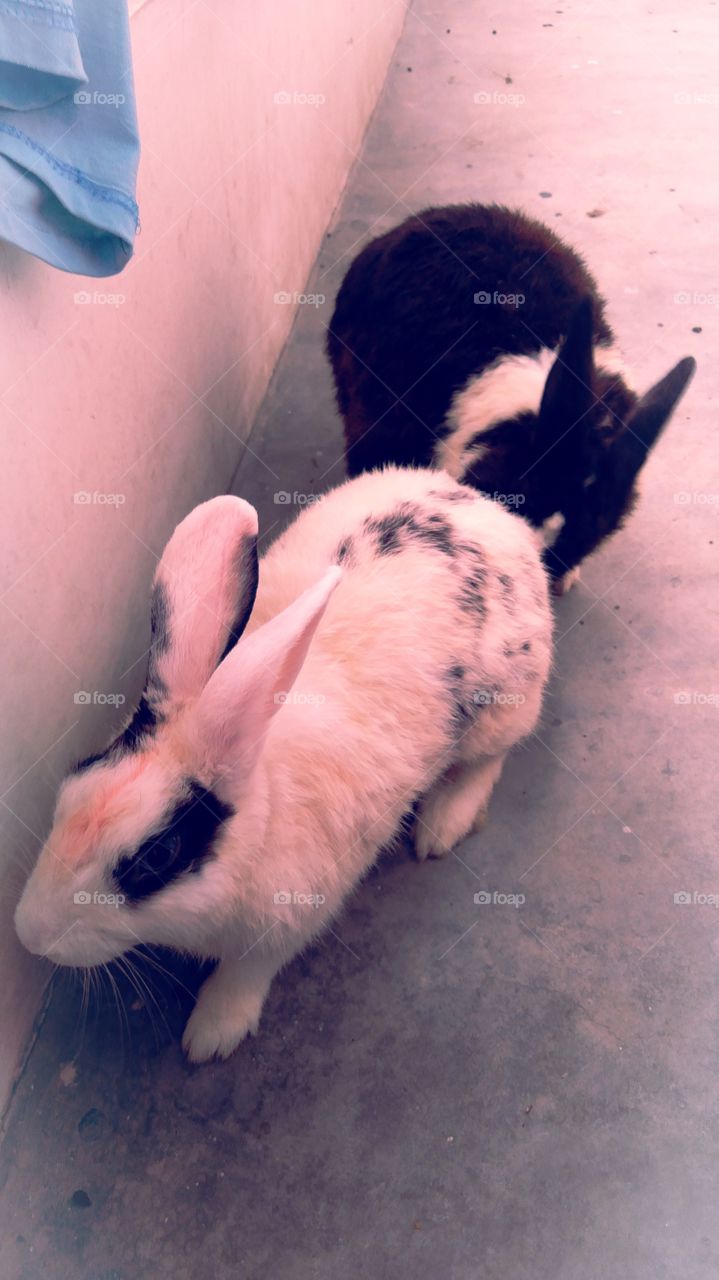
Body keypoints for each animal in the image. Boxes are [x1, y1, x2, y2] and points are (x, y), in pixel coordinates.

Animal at [15, 467, 552, 1062]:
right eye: (74, 779)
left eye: (158, 856)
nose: (29, 934)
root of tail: (495, 515)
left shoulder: (287, 921)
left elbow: (246, 974)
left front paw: (210, 1036)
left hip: (502, 710)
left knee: (489, 761)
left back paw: (442, 826)